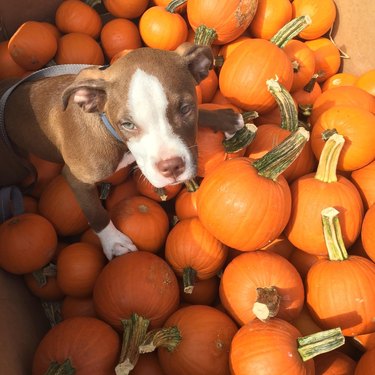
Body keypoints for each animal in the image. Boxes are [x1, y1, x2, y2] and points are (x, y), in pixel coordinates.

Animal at [0, 42, 244, 260]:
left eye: (185, 109)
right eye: (127, 124)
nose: (172, 167)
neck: (110, 130)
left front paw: (225, 119)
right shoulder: (77, 178)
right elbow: (96, 212)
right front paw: (114, 243)